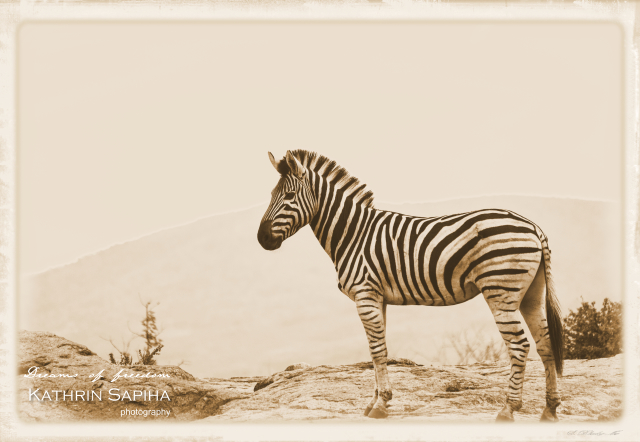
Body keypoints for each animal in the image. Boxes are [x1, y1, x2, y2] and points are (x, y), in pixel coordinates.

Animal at [257, 150, 564, 422]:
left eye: (289, 196)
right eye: (271, 195)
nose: (261, 239)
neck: (353, 234)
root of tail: (534, 227)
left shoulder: (365, 294)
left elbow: (378, 350)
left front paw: (381, 405)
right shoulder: (377, 297)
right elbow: (376, 350)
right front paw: (375, 402)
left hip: (501, 290)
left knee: (520, 346)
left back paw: (508, 410)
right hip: (531, 293)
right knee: (545, 342)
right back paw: (550, 409)